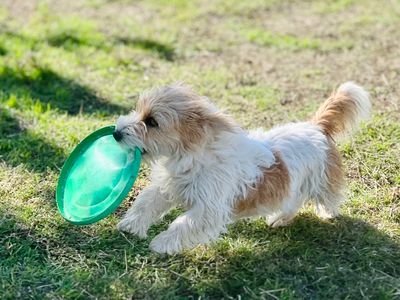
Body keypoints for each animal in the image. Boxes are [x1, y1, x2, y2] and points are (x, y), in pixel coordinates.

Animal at [114, 82, 370, 255]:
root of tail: (316, 126)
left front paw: (161, 243)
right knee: (293, 202)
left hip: (321, 181)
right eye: (138, 111)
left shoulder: (209, 209)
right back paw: (279, 218)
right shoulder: (168, 187)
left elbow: (182, 224)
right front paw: (131, 226)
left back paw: (325, 213)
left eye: (152, 122)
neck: (192, 155)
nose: (116, 133)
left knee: (327, 199)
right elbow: (146, 203)